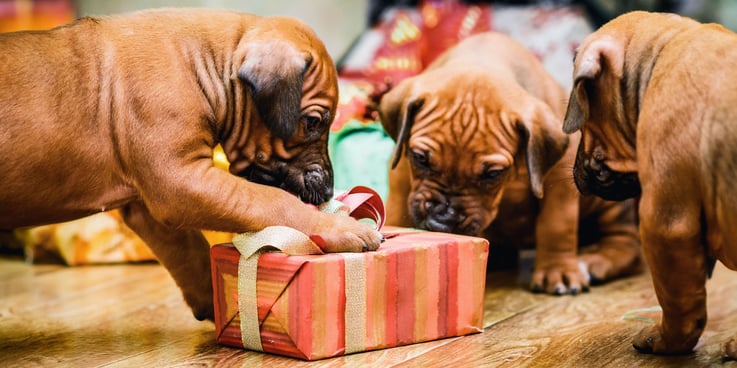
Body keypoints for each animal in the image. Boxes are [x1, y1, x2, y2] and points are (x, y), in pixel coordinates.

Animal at [0, 7, 380, 320]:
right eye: (313, 122)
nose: (329, 189)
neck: (206, 62)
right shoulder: (181, 179)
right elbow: (272, 202)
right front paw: (339, 228)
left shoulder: (150, 206)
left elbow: (192, 255)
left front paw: (229, 307)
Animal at [380, 31, 640, 296]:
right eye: (420, 159)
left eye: (492, 174)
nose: (441, 222)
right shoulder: (401, 172)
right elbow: (398, 209)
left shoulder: (560, 178)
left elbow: (556, 226)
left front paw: (558, 271)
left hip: (606, 197)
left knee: (627, 243)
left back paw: (594, 261)